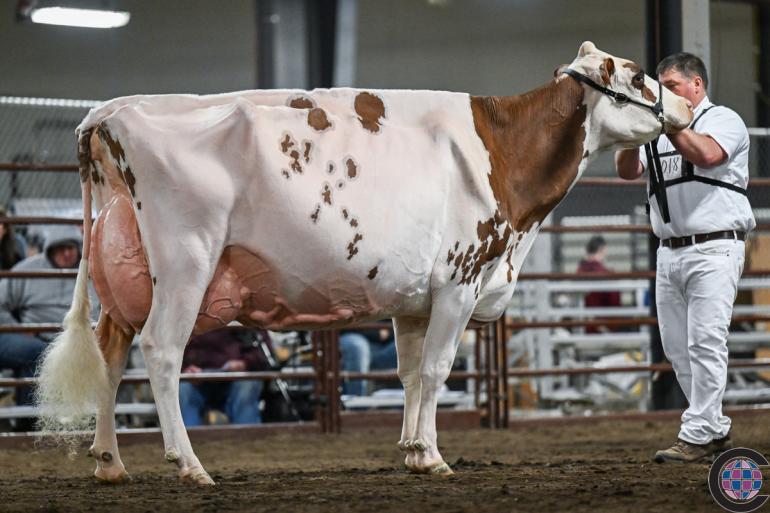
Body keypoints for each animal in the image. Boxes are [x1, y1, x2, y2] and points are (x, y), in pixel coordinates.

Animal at [39, 41, 688, 484]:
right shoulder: (459, 282)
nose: (686, 103)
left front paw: (412, 451)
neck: (503, 154)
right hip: (185, 262)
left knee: (110, 353)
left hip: (127, 276)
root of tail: (109, 113)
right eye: (639, 75)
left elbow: (409, 373)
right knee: (162, 351)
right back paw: (189, 463)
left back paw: (109, 461)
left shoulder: (414, 299)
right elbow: (437, 371)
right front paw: (434, 456)